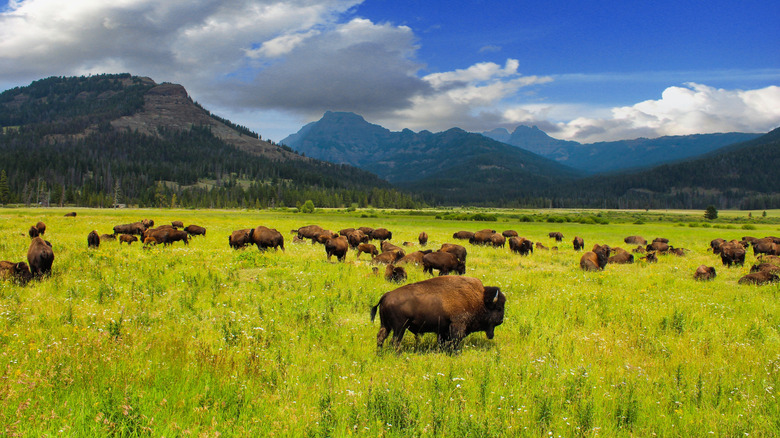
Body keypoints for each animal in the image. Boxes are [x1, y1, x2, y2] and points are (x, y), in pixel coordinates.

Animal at [370, 276, 506, 350]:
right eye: (499, 308)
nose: (501, 321)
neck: (480, 299)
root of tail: (386, 296)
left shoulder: (443, 329)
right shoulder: (457, 325)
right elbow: (454, 341)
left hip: (386, 325)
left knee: (381, 337)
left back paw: (380, 352)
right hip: (399, 328)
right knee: (395, 341)